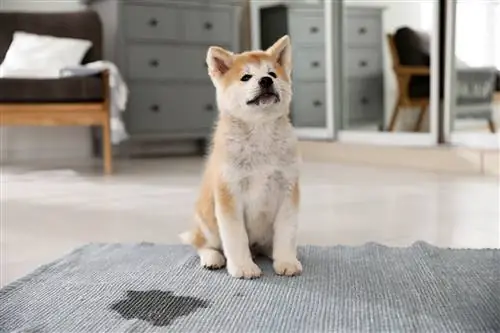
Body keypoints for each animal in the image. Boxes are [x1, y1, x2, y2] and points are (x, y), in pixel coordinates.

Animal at [181, 35, 300, 278]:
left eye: (272, 73)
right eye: (246, 77)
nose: (266, 81)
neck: (260, 133)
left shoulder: (288, 189)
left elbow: (286, 232)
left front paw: (286, 261)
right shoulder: (229, 192)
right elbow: (236, 237)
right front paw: (243, 267)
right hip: (208, 222)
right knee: (201, 244)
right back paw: (212, 257)